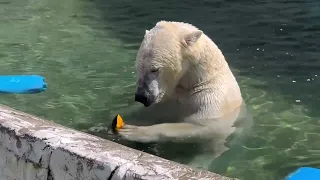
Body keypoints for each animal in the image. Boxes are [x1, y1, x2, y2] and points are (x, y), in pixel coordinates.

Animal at [117, 20, 252, 160]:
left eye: (154, 69)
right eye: (138, 67)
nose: (141, 96)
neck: (194, 82)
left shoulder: (213, 99)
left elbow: (205, 126)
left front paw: (134, 131)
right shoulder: (168, 100)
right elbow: (146, 112)